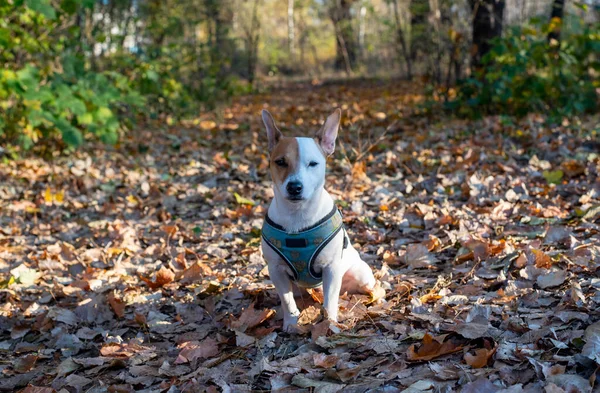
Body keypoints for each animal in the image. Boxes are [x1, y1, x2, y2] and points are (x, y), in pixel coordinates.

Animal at [258, 107, 380, 330]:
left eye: (313, 163)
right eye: (280, 162)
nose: (295, 187)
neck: (298, 214)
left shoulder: (331, 268)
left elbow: (330, 300)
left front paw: (329, 323)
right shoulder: (276, 270)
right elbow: (287, 299)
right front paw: (291, 322)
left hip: (360, 274)